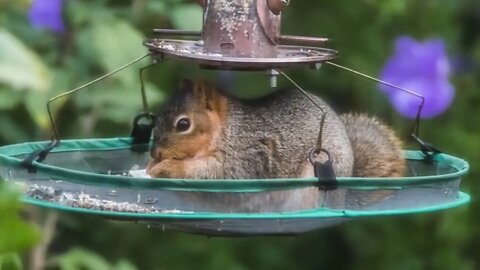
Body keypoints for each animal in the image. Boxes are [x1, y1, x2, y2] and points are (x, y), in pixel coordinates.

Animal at [145, 79, 404, 212]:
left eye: (183, 124)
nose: (156, 152)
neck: (226, 132)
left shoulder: (246, 158)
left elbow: (214, 174)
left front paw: (165, 167)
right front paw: (151, 165)